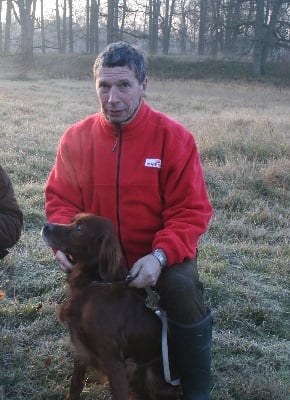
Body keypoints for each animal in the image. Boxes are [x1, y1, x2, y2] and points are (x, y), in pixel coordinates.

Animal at [42, 214, 180, 398]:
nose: (46, 226)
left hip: (146, 371)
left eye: (80, 228)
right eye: (72, 221)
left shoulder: (114, 361)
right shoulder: (80, 347)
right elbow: (75, 385)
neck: (93, 286)